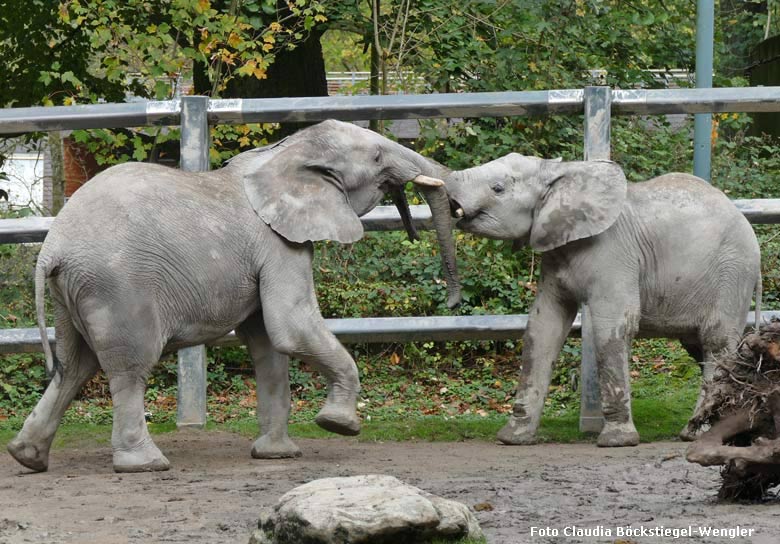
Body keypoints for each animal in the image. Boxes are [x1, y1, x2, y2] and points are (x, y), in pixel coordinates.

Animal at [7, 119, 464, 472]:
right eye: (376, 158)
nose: (453, 303)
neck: (284, 152)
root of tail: (51, 249)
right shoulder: (279, 244)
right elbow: (290, 327)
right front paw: (339, 425)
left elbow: (269, 344)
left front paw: (278, 456)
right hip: (117, 287)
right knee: (128, 368)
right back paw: (146, 464)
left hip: (73, 292)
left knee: (73, 366)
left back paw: (27, 457)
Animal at [444, 153, 760, 446]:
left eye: (497, 188)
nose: (451, 205)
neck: (558, 172)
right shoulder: (556, 254)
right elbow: (543, 327)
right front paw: (512, 438)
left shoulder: (613, 253)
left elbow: (613, 325)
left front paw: (617, 441)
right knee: (699, 347)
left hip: (732, 272)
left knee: (716, 343)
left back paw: (698, 434)